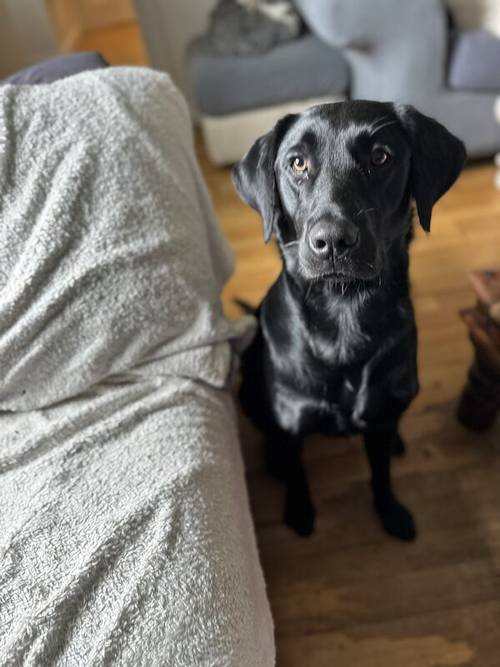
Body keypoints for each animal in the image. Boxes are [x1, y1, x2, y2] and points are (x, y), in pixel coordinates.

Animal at [232, 102, 466, 540]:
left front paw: (391, 511)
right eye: (297, 163)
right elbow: (298, 473)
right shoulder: (293, 421)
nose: (333, 242)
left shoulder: (382, 413)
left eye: (380, 156)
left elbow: (381, 474)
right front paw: (299, 512)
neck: (344, 313)